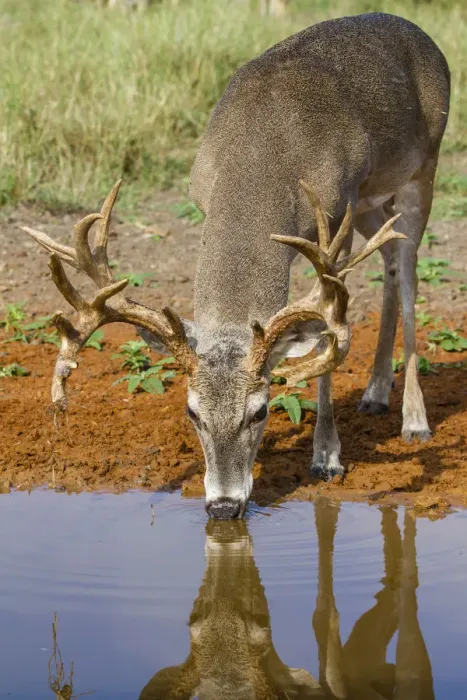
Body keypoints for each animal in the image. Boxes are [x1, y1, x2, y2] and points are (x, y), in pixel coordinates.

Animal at [22, 12, 450, 519]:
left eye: (261, 410)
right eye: (191, 411)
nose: (224, 506)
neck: (262, 154)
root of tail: (418, 31)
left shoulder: (336, 217)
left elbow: (329, 337)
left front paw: (327, 457)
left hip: (422, 167)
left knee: (408, 271)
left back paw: (414, 419)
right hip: (372, 200)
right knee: (389, 258)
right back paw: (375, 393)